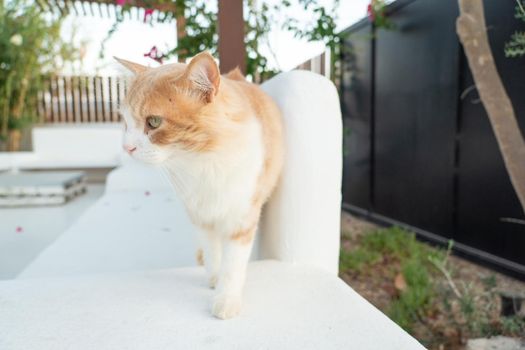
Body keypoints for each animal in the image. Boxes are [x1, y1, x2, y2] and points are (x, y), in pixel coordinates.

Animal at [115, 52, 282, 320]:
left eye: (153, 122)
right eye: (126, 123)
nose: (126, 147)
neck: (201, 162)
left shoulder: (241, 218)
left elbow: (233, 265)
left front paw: (226, 297)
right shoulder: (201, 217)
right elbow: (214, 254)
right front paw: (214, 278)